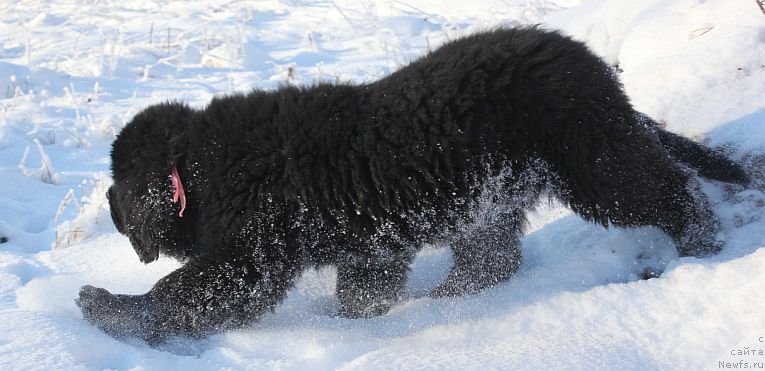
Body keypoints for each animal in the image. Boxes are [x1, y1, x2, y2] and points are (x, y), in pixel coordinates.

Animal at [76, 26, 748, 346]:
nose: (109, 205)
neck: (199, 170)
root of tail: (591, 66)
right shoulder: (371, 248)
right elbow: (362, 295)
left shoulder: (251, 251)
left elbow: (184, 292)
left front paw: (111, 310)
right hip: (494, 199)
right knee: (492, 260)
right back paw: (446, 300)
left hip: (594, 161)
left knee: (672, 191)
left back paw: (702, 246)